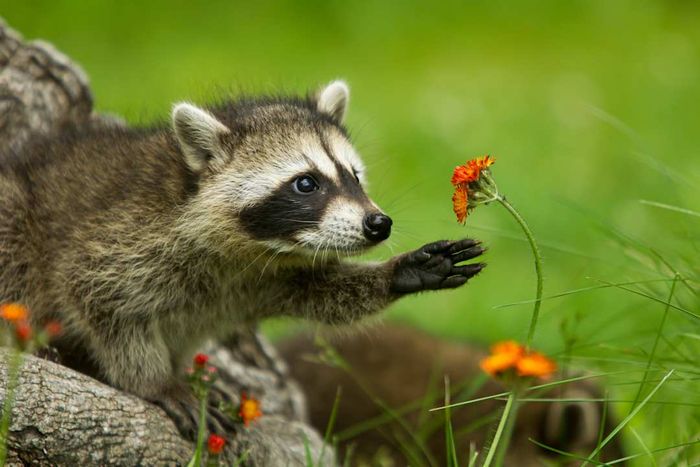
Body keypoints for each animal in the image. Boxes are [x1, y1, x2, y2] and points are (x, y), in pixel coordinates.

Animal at [0, 81, 486, 437]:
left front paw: (399, 273)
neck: (251, 249)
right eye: (306, 183)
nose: (378, 225)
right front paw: (155, 381)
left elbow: (322, 293)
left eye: (354, 176)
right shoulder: (121, 237)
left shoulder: (266, 276)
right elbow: (99, 298)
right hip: (16, 216)